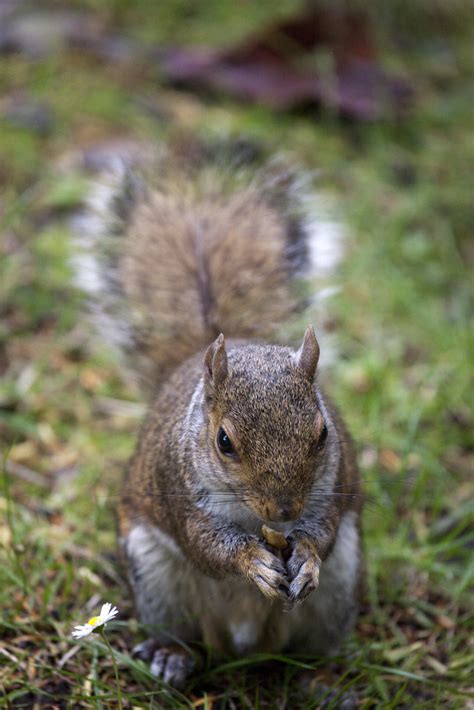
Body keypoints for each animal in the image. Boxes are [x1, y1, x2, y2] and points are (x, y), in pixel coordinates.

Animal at [75, 142, 362, 692]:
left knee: (311, 645)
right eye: (224, 441)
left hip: (337, 595)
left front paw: (307, 557)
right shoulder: (180, 491)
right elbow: (206, 545)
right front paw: (251, 561)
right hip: (158, 581)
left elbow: (325, 531)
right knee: (181, 631)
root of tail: (246, 643)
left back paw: (323, 679)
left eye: (322, 434)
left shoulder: (331, 488)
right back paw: (172, 656)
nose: (284, 511)